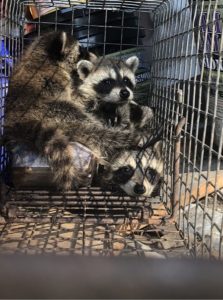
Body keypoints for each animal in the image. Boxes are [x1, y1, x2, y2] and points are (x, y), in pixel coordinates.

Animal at [3, 31, 141, 190]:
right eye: (80, 49)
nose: (93, 55)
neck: (42, 55)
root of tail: (17, 124)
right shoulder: (53, 81)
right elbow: (73, 100)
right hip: (43, 110)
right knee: (81, 121)